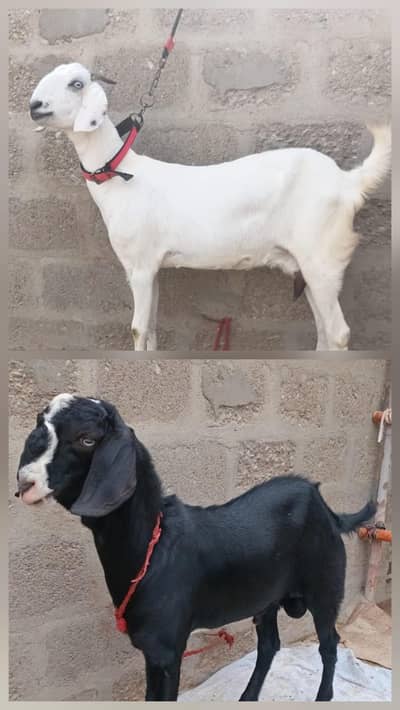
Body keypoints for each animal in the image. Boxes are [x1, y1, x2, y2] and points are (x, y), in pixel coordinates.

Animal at [16, 394, 376, 701]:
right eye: (40, 424)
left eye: (86, 439)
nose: (25, 482)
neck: (153, 547)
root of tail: (326, 508)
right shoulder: (153, 650)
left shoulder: (166, 649)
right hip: (267, 597)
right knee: (269, 645)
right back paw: (247, 697)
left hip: (326, 585)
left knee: (328, 644)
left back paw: (322, 696)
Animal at [28, 63, 391, 352]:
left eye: (76, 83)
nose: (35, 106)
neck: (120, 174)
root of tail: (347, 181)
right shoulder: (151, 265)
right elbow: (152, 329)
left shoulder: (140, 265)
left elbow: (137, 329)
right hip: (309, 265)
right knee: (325, 331)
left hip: (322, 255)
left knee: (339, 333)